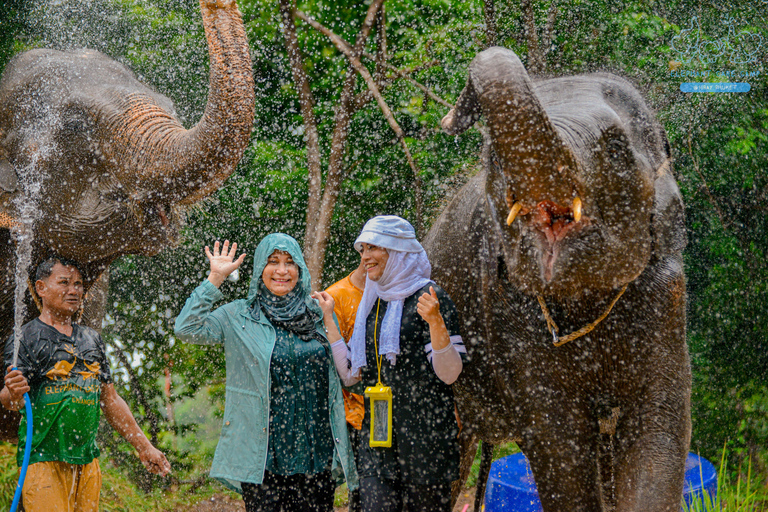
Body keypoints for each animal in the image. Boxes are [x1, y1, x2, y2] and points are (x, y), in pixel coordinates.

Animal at [424, 48, 692, 512]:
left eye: (615, 146)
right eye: (492, 157)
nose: (450, 119)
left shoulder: (665, 293)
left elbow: (657, 428)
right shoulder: (508, 310)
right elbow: (560, 445)